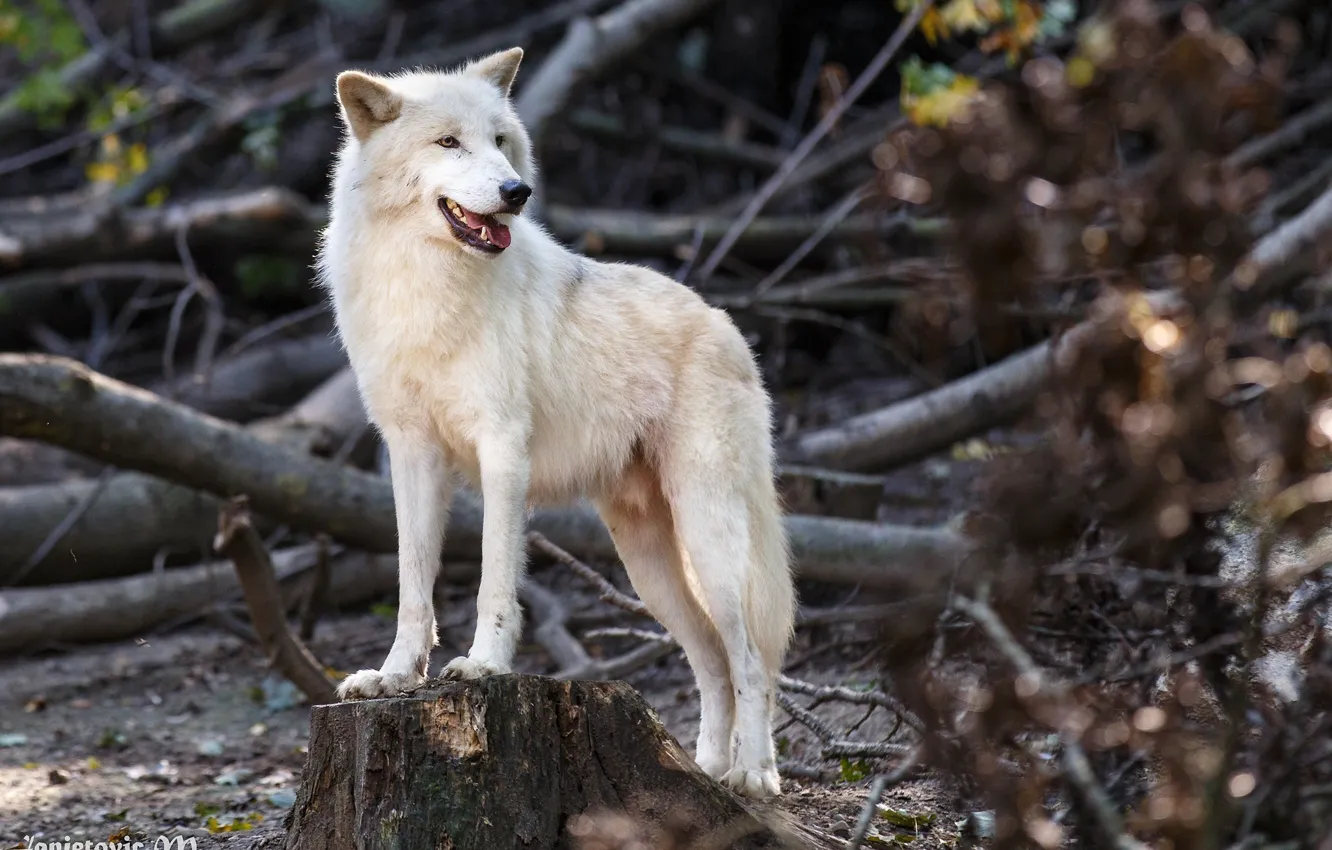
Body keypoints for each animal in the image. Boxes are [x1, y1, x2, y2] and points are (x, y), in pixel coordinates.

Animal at [317, 47, 796, 799]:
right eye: (448, 142)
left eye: (500, 140)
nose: (517, 192)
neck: (428, 283)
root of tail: (727, 326)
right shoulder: (412, 454)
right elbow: (412, 588)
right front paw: (394, 677)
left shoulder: (501, 449)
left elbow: (493, 579)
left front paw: (484, 666)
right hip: (648, 566)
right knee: (713, 663)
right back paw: (708, 771)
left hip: (710, 541)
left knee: (751, 659)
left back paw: (755, 776)